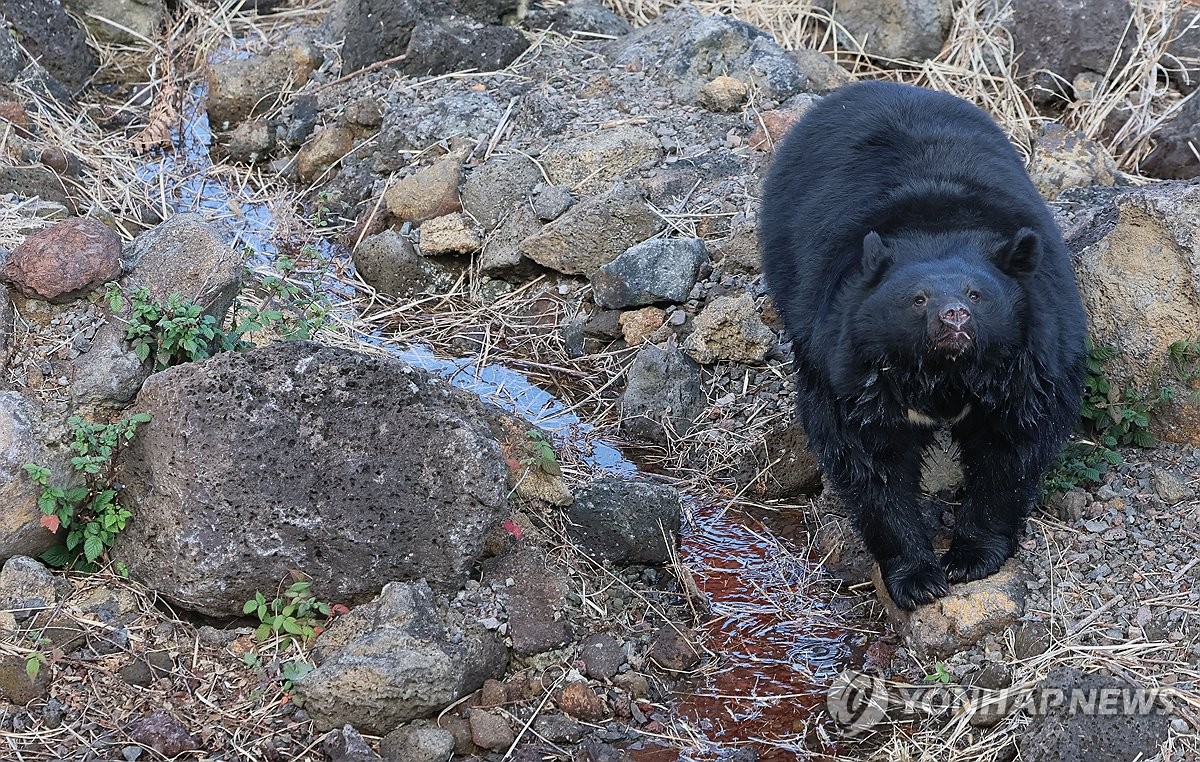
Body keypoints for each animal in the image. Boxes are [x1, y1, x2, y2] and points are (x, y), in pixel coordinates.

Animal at [758, 80, 1089, 612]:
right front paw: (917, 578)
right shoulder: (853, 364)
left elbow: (1011, 448)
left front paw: (970, 558)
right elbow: (870, 459)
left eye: (976, 294)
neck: (946, 372)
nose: (953, 317)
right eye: (918, 299)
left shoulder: (1032, 358)